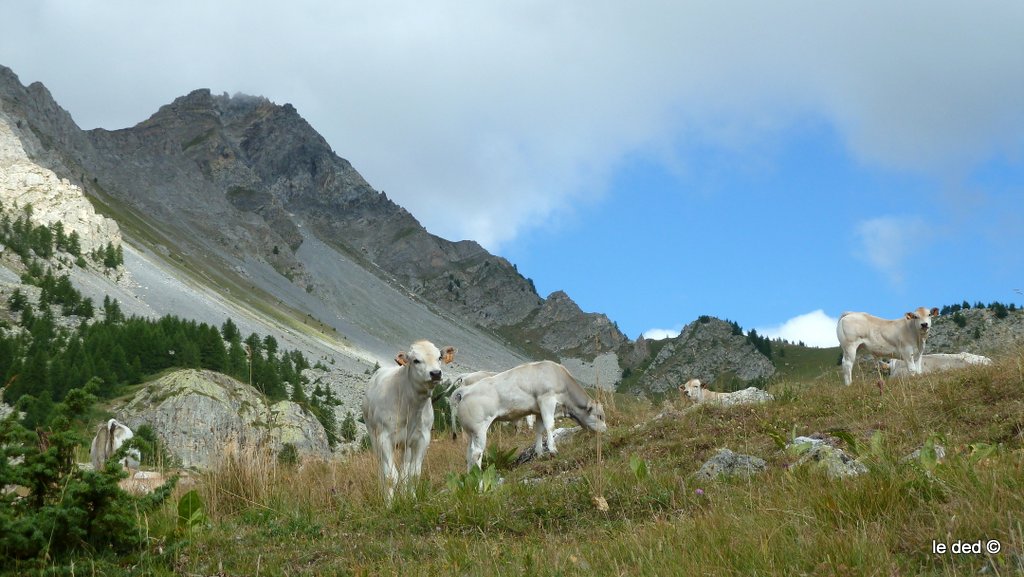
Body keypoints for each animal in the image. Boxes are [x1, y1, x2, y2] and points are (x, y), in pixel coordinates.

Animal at [362, 340, 454, 504]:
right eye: (416, 360)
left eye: (439, 357)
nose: (436, 373)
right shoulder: (384, 439)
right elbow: (390, 476)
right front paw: (389, 504)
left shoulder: (422, 439)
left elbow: (414, 474)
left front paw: (411, 499)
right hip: (373, 435)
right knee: (382, 468)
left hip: (406, 445)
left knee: (405, 469)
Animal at [450, 360, 606, 473]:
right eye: (599, 416)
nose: (605, 431)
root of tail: (464, 390)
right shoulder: (546, 400)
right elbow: (550, 426)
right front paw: (553, 450)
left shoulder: (538, 411)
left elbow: (539, 430)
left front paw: (539, 453)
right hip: (479, 429)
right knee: (476, 453)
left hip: (471, 432)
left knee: (469, 454)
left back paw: (472, 479)